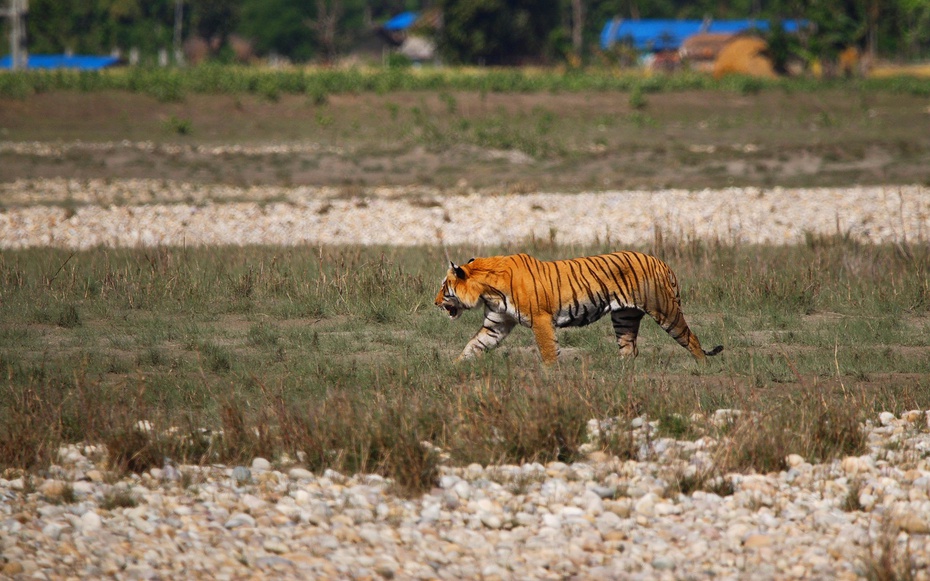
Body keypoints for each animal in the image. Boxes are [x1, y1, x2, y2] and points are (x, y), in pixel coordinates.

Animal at [432, 249, 720, 362]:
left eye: (444, 288)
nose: (434, 303)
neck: (487, 291)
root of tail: (662, 262)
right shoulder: (497, 323)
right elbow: (473, 345)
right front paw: (453, 367)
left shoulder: (541, 320)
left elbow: (549, 351)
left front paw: (551, 376)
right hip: (624, 317)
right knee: (629, 349)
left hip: (664, 309)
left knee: (690, 338)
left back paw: (702, 368)